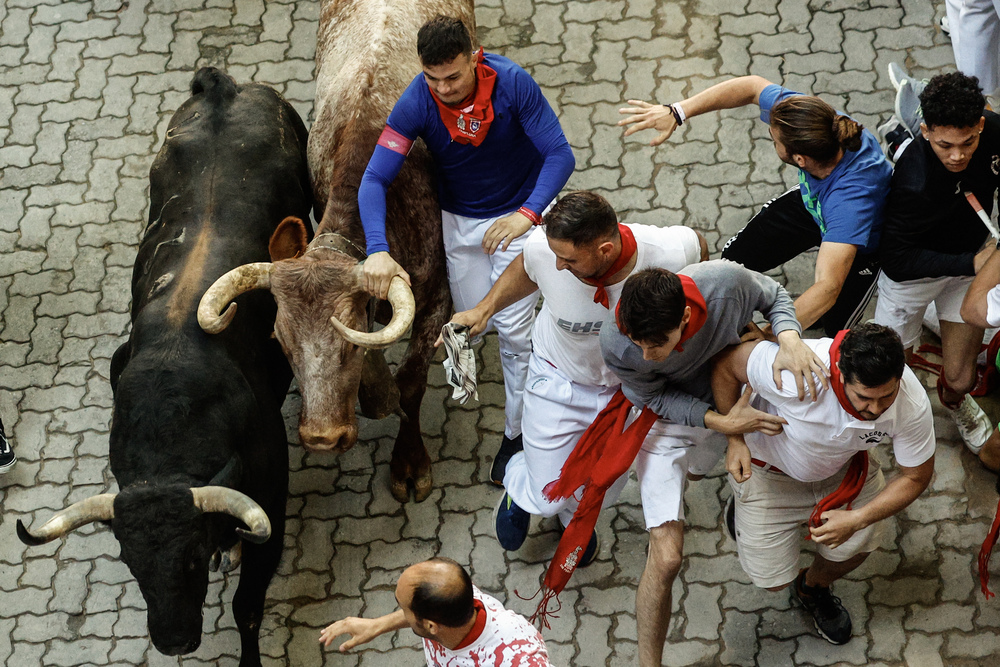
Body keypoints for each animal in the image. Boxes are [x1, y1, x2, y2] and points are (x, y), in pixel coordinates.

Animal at [16, 69, 312, 667]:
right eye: (131, 562)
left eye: (193, 555)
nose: (173, 639)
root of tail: (222, 88)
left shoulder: (272, 505)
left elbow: (247, 607)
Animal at [201, 0, 474, 500]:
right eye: (282, 342)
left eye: (348, 345)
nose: (322, 438)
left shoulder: (436, 298)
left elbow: (409, 385)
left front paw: (409, 461)